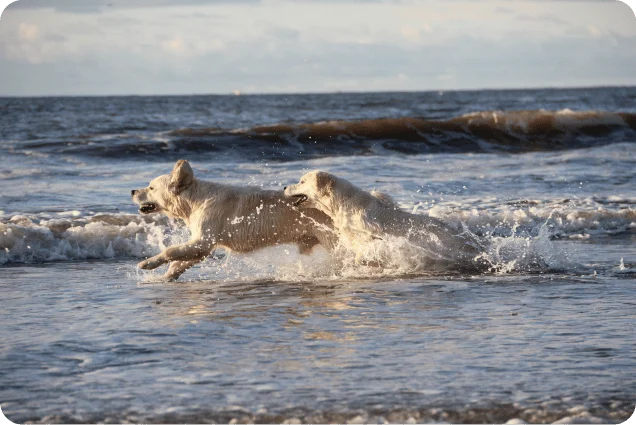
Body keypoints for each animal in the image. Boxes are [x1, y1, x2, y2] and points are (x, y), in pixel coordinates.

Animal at [132, 161, 336, 280]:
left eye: (151, 187)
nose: (133, 191)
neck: (195, 200)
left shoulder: (204, 241)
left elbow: (170, 251)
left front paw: (147, 264)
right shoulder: (203, 245)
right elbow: (179, 261)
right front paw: (166, 276)